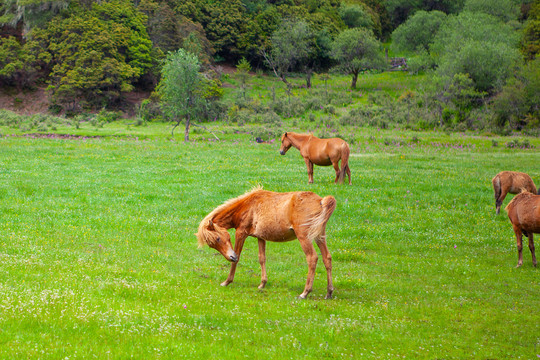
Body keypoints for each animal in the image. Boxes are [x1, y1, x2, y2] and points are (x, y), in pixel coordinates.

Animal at [194, 187, 338, 300]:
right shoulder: (261, 237)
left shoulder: (241, 233)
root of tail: (321, 201)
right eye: (212, 244)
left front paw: (227, 281)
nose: (230, 257)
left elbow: (238, 257)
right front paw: (262, 284)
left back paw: (305, 292)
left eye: (218, 239)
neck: (247, 205)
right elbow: (262, 258)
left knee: (312, 258)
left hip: (304, 237)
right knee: (327, 258)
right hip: (319, 236)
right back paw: (329, 292)